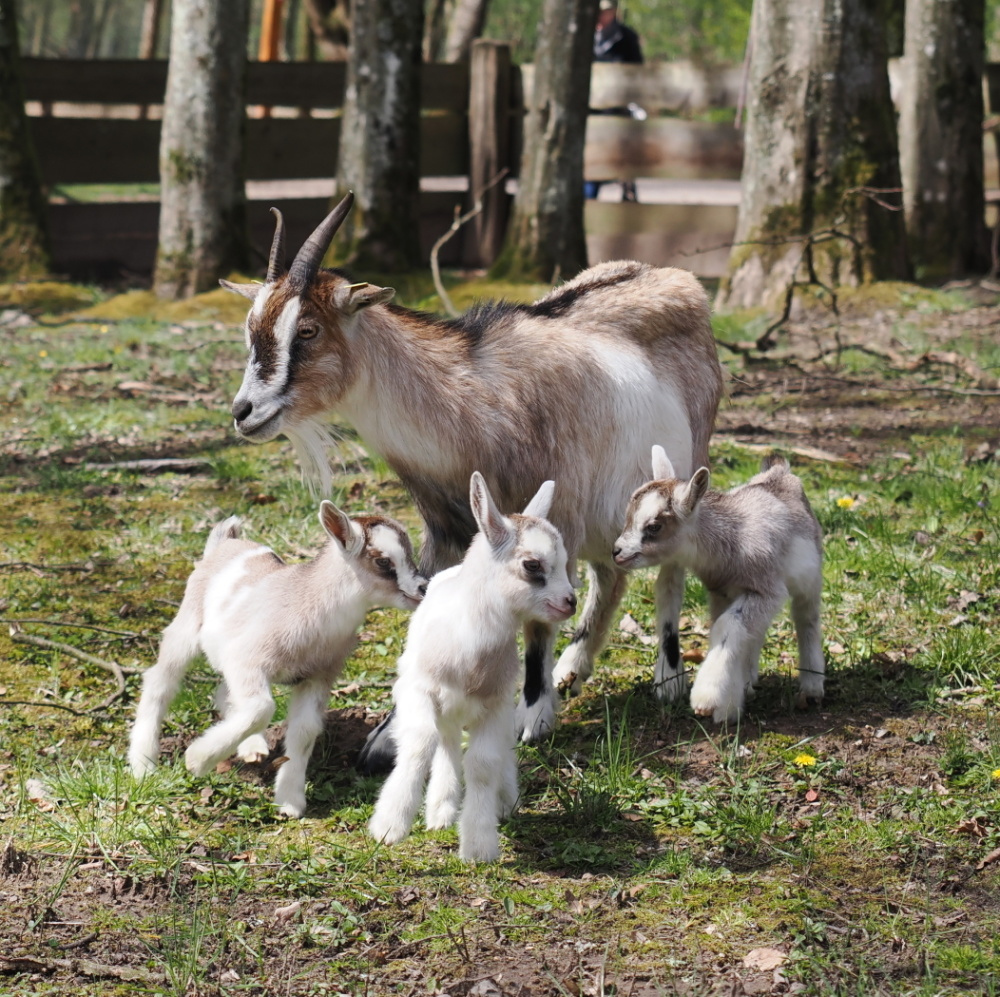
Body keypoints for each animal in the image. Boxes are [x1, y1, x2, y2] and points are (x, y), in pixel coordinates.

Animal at [128, 501, 426, 816]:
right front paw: (197, 760)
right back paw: (143, 764)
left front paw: (289, 801)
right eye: (382, 561)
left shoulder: (318, 675)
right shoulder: (248, 660)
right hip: (187, 624)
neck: (311, 608)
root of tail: (225, 543)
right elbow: (262, 708)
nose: (423, 588)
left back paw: (252, 748)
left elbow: (304, 730)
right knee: (161, 681)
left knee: (224, 693)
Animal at [220, 195, 723, 765]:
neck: (472, 403)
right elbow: (425, 609)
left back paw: (667, 677)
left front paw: (532, 716)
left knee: (668, 573)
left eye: (308, 330)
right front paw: (390, 733)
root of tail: (677, 277)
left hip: (677, 481)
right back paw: (574, 669)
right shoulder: (446, 528)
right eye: (251, 328)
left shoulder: (557, 516)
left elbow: (539, 621)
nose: (244, 412)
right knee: (610, 575)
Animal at [368, 472, 576, 862]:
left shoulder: (495, 705)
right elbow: (421, 742)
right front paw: (390, 825)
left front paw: (479, 844)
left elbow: (482, 763)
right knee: (446, 741)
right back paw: (441, 811)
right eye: (533, 564)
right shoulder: (418, 690)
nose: (570, 601)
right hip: (445, 705)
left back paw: (500, 801)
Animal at [613, 447, 824, 723]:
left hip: (809, 578)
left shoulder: (767, 590)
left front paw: (707, 696)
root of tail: (779, 472)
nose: (617, 552)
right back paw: (748, 682)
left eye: (654, 526)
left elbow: (727, 626)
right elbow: (724, 630)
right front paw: (729, 707)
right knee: (755, 632)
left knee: (806, 618)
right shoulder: (719, 592)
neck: (732, 539)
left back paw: (812, 688)